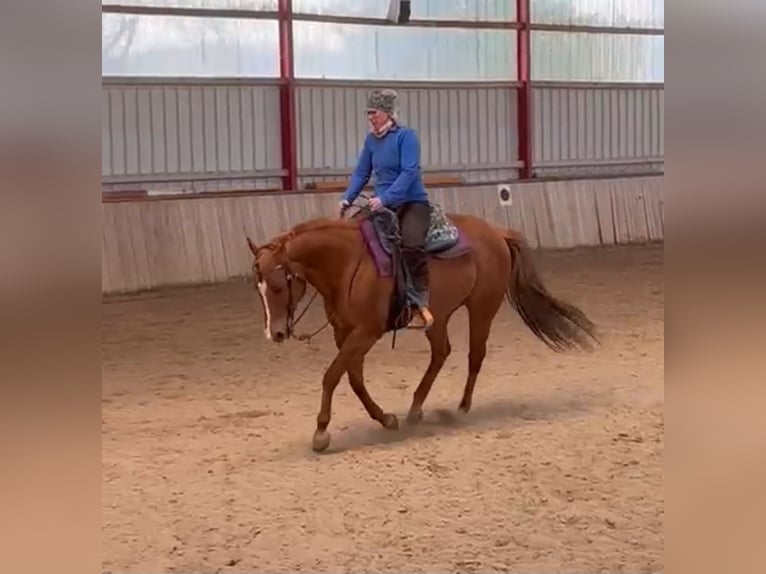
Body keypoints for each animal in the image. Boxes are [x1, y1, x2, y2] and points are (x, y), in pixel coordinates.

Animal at [246, 205, 599, 452]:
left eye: (278, 286)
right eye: (257, 288)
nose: (275, 334)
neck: (346, 264)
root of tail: (498, 232)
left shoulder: (366, 333)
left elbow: (331, 376)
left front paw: (321, 433)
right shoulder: (344, 333)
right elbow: (354, 379)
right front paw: (386, 418)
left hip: (482, 308)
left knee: (475, 355)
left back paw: (462, 407)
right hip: (438, 316)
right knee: (441, 352)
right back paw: (416, 409)